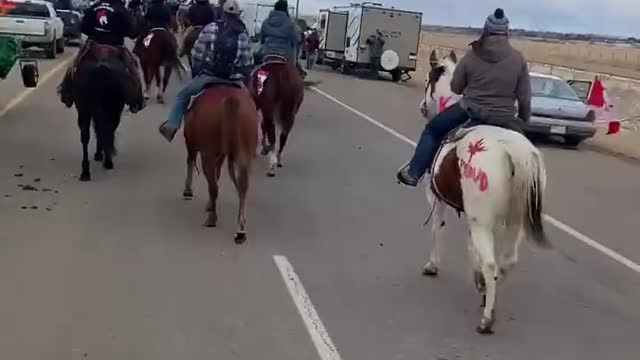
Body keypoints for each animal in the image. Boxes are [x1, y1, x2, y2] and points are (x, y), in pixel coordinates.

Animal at [72, 44, 131, 181]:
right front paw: (103, 154)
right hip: (109, 109)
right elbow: (105, 131)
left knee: (86, 135)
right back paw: (107, 161)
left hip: (84, 109)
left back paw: (85, 171)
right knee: (105, 129)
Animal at [180, 81, 258, 243]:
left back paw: (212, 219)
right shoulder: (221, 154)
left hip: (207, 154)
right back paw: (240, 230)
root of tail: (231, 100)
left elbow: (191, 161)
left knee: (213, 186)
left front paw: (188, 191)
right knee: (242, 184)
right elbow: (217, 173)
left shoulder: (191, 143)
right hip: (245, 151)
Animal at [418, 49, 548, 334]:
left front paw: (432, 265)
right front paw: (477, 281)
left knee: (492, 263)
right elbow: (471, 247)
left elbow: (437, 229)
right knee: (507, 261)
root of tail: (513, 149)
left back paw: (487, 319)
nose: (422, 107)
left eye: (428, 80)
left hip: (483, 221)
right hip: (513, 221)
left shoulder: (437, 200)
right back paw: (487, 296)